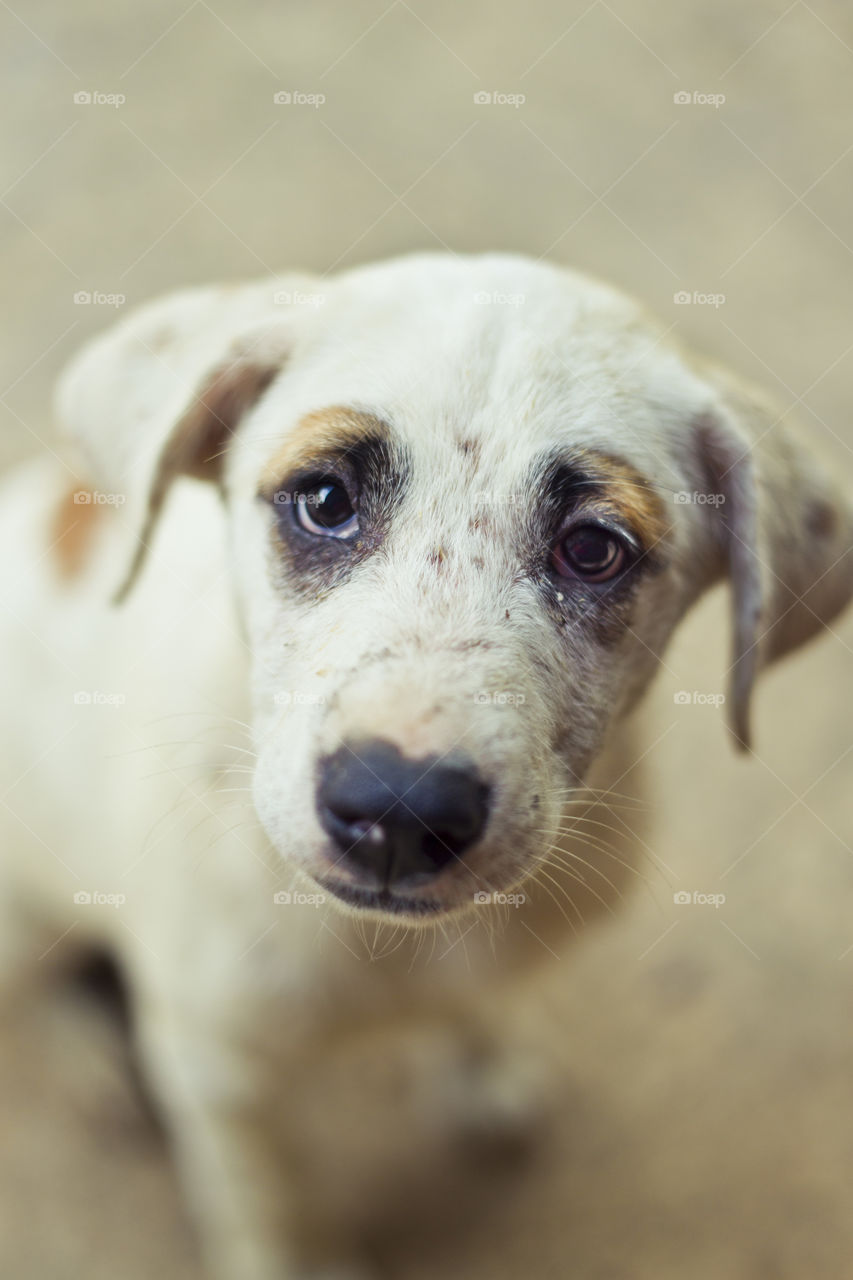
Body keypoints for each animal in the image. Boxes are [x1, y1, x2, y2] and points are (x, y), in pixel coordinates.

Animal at [0, 252, 845, 1280]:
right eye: (324, 500)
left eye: (594, 550)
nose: (398, 812)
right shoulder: (222, 1071)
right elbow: (270, 1199)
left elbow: (474, 1014)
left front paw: (482, 1076)